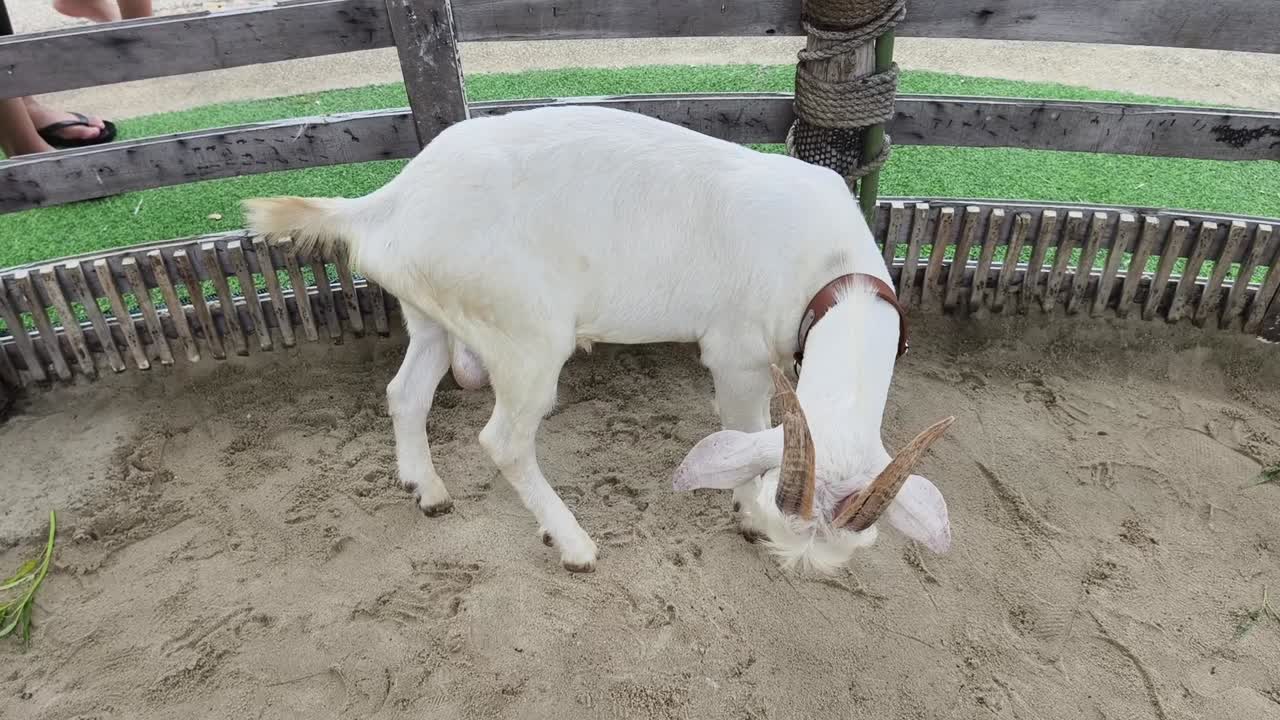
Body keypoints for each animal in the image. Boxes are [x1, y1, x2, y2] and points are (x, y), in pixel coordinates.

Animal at [243, 105, 954, 574]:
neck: (833, 269)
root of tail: (385, 204)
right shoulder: (738, 355)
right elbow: (744, 428)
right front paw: (749, 512)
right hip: (522, 331)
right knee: (503, 439)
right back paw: (575, 545)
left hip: (431, 311)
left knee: (405, 392)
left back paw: (428, 491)